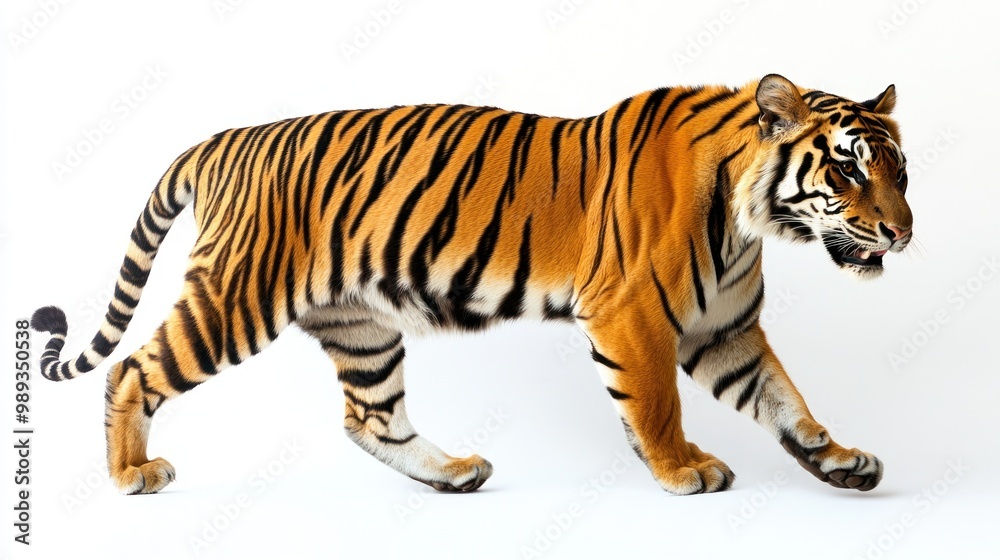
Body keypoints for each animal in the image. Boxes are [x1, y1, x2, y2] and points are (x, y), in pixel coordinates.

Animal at [31, 73, 912, 495]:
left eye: (899, 170)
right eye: (846, 168)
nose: (903, 234)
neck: (747, 221)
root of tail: (223, 140)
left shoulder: (722, 329)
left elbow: (784, 399)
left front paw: (839, 461)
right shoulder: (633, 317)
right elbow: (657, 403)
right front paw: (681, 469)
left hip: (360, 325)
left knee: (370, 418)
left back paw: (453, 475)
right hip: (235, 299)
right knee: (131, 369)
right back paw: (131, 475)